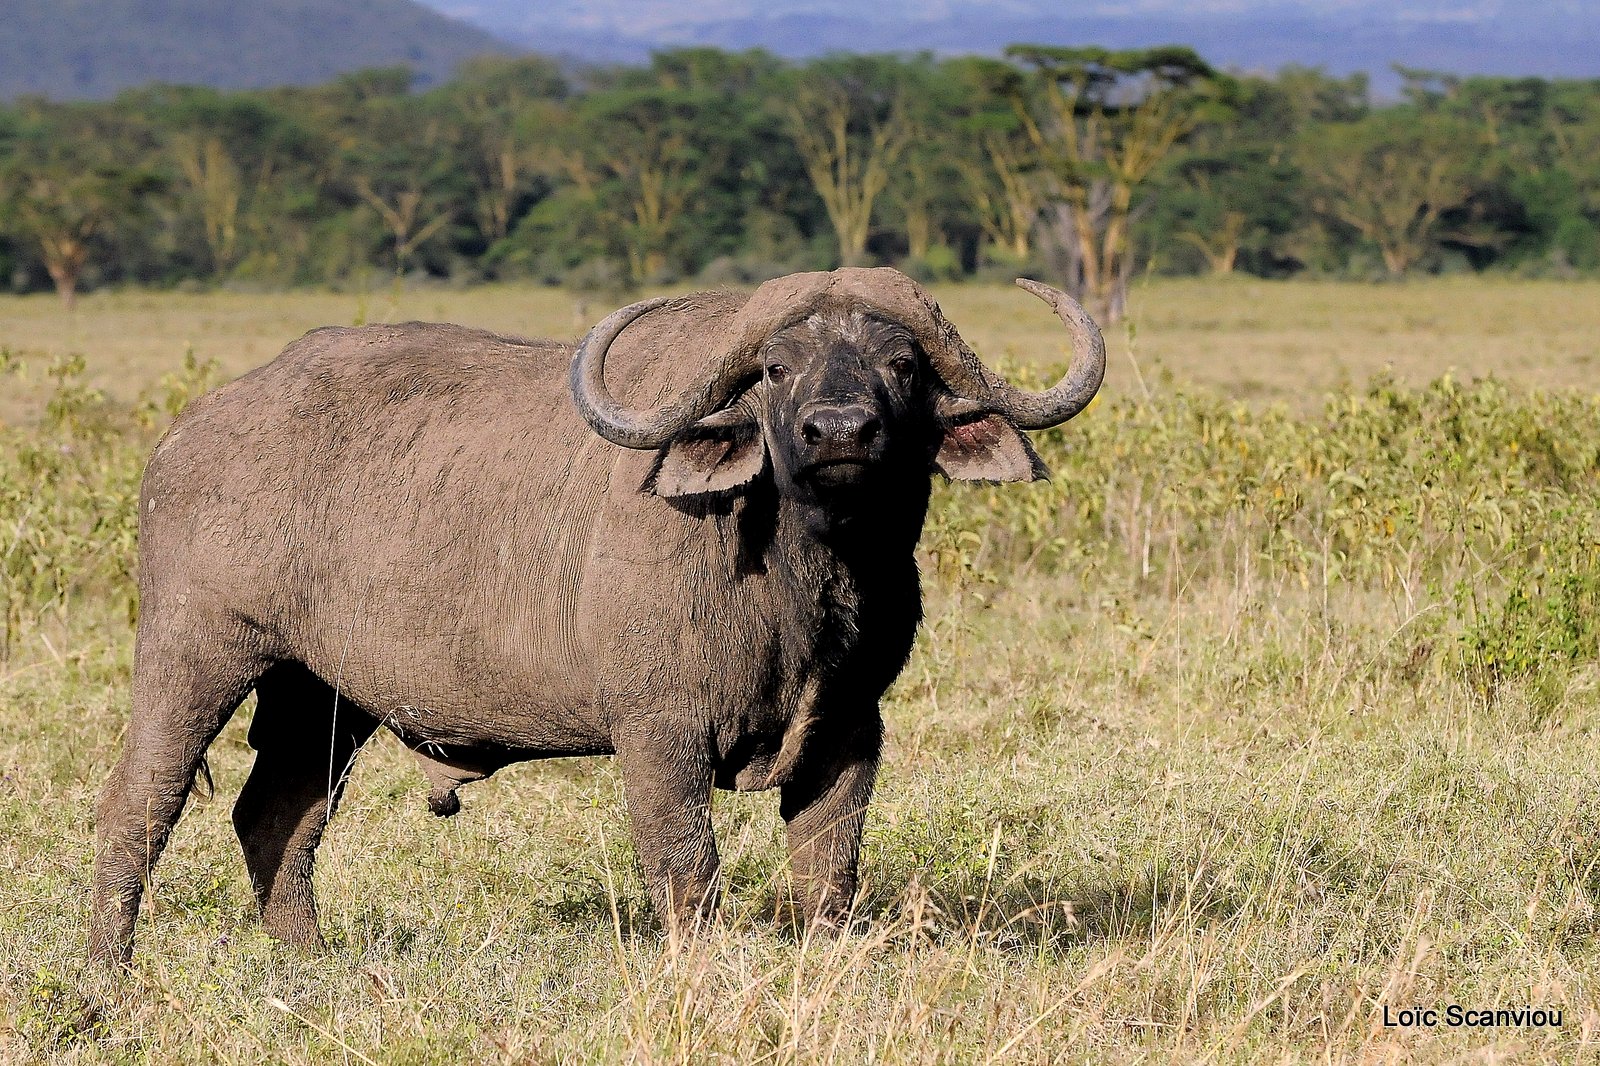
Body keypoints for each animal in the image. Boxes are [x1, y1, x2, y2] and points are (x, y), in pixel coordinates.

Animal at [87, 267, 1100, 960]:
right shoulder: (659, 732)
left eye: (901, 363)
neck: (804, 576)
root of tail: (189, 430)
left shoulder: (853, 727)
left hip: (319, 695)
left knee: (277, 815)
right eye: (776, 368)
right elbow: (687, 865)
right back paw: (109, 975)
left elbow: (830, 870)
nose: (841, 431)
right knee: (140, 803)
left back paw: (311, 963)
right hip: (197, 651)